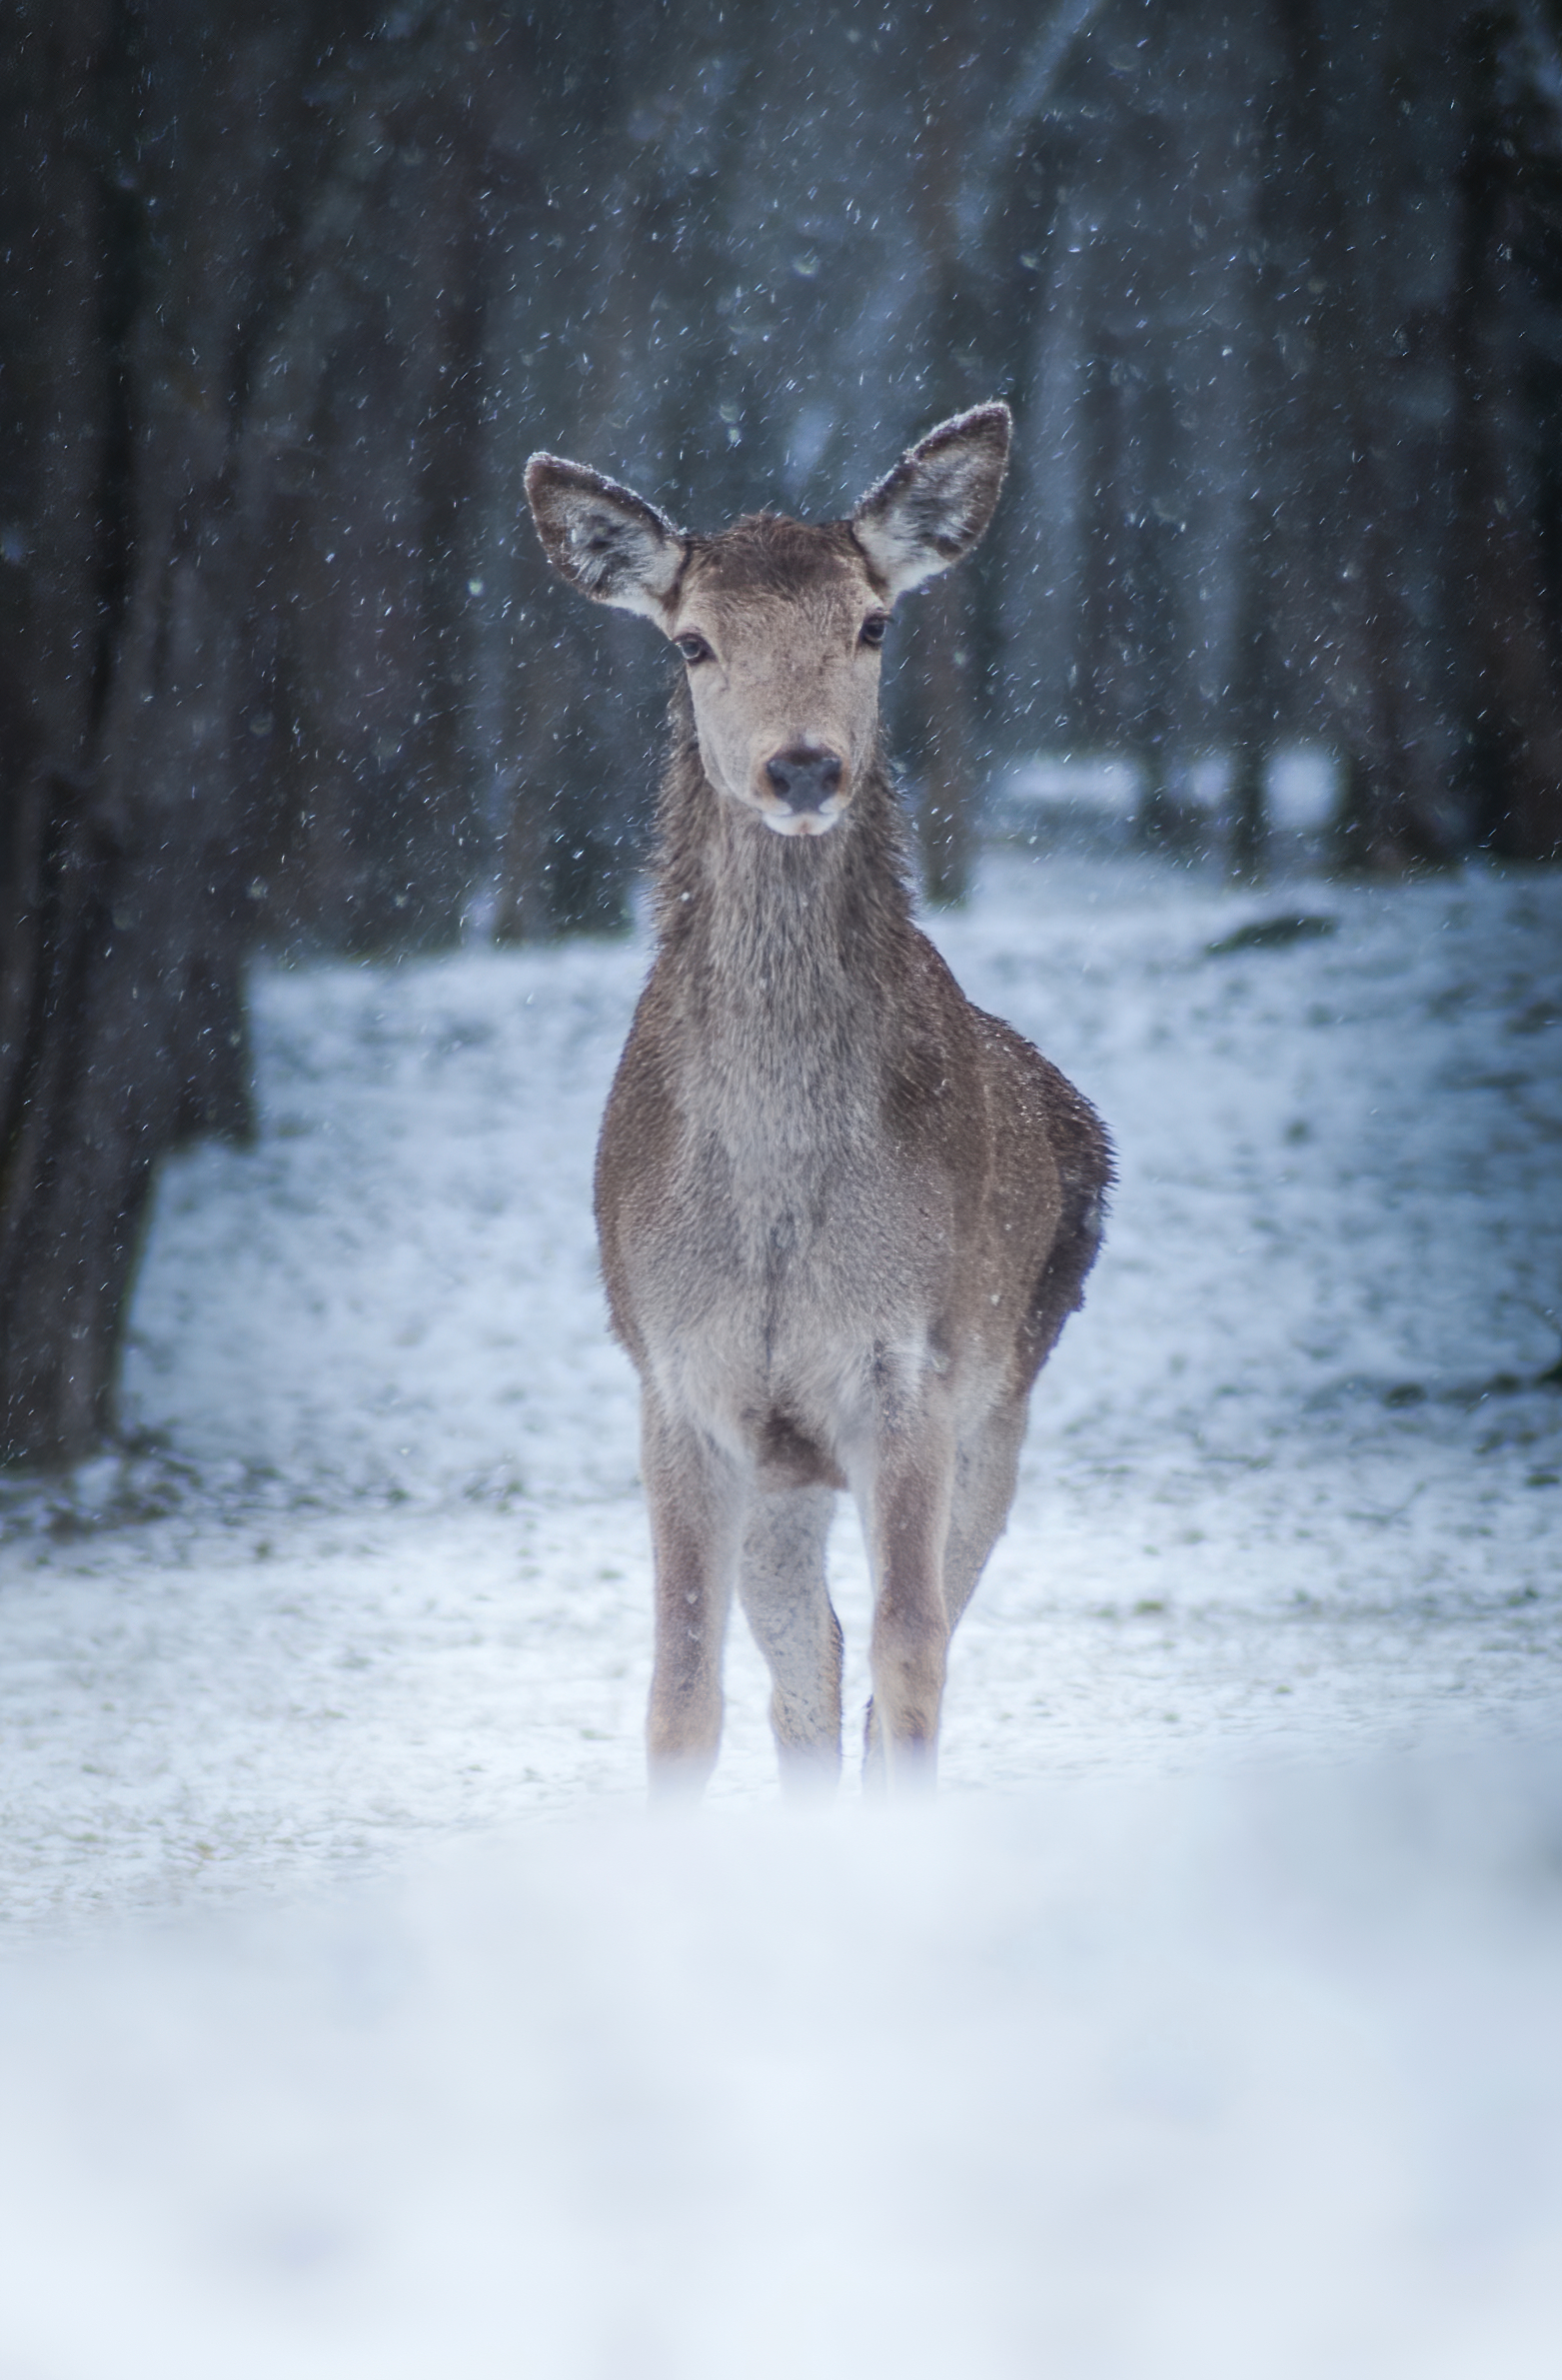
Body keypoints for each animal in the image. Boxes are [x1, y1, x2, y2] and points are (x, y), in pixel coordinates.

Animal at [525, 403, 1111, 1797]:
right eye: (693, 639)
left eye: (873, 621)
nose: (801, 766)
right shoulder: (680, 1381)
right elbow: (683, 1690)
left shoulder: (912, 1367)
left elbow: (912, 1655)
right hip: (790, 1466)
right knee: (810, 1656)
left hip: (1005, 1394)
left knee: (897, 1643)